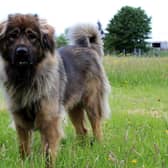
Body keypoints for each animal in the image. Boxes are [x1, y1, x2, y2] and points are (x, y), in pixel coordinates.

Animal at [0, 13, 111, 167]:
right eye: (12, 36)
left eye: (32, 36)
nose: (21, 52)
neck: (27, 78)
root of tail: (87, 48)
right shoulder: (20, 121)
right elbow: (24, 149)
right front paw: (24, 163)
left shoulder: (49, 119)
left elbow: (48, 152)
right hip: (74, 107)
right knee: (82, 130)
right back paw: (79, 152)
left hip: (92, 103)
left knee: (97, 127)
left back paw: (98, 149)